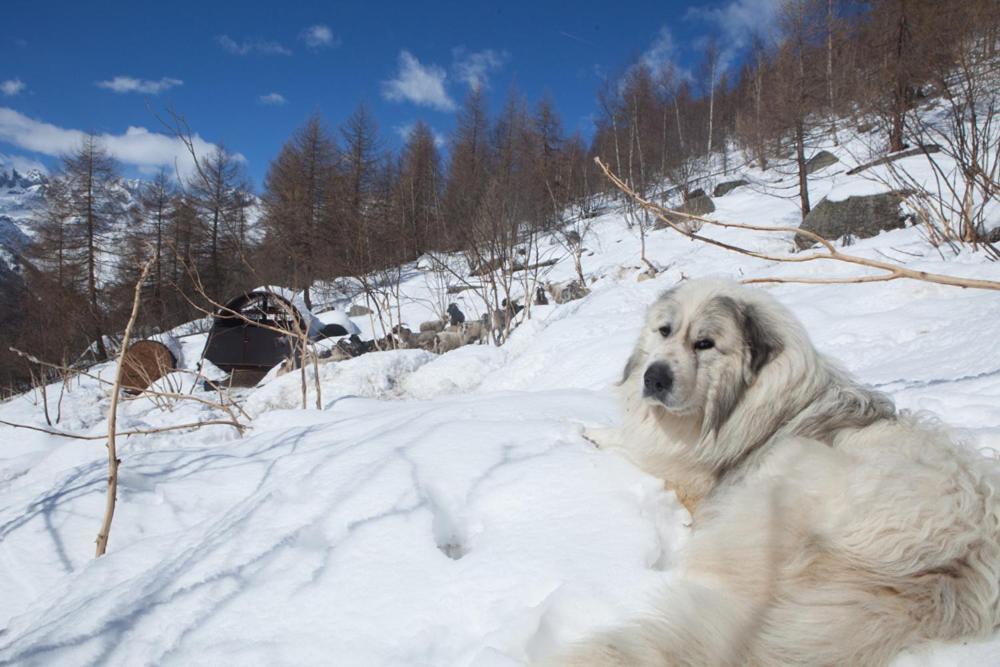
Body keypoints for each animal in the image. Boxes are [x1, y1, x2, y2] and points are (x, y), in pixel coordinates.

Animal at [548, 280, 1000, 667]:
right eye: (664, 331)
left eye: (704, 344)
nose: (654, 376)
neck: (733, 402)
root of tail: (953, 564)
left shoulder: (680, 474)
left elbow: (628, 447)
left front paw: (585, 433)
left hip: (784, 473)